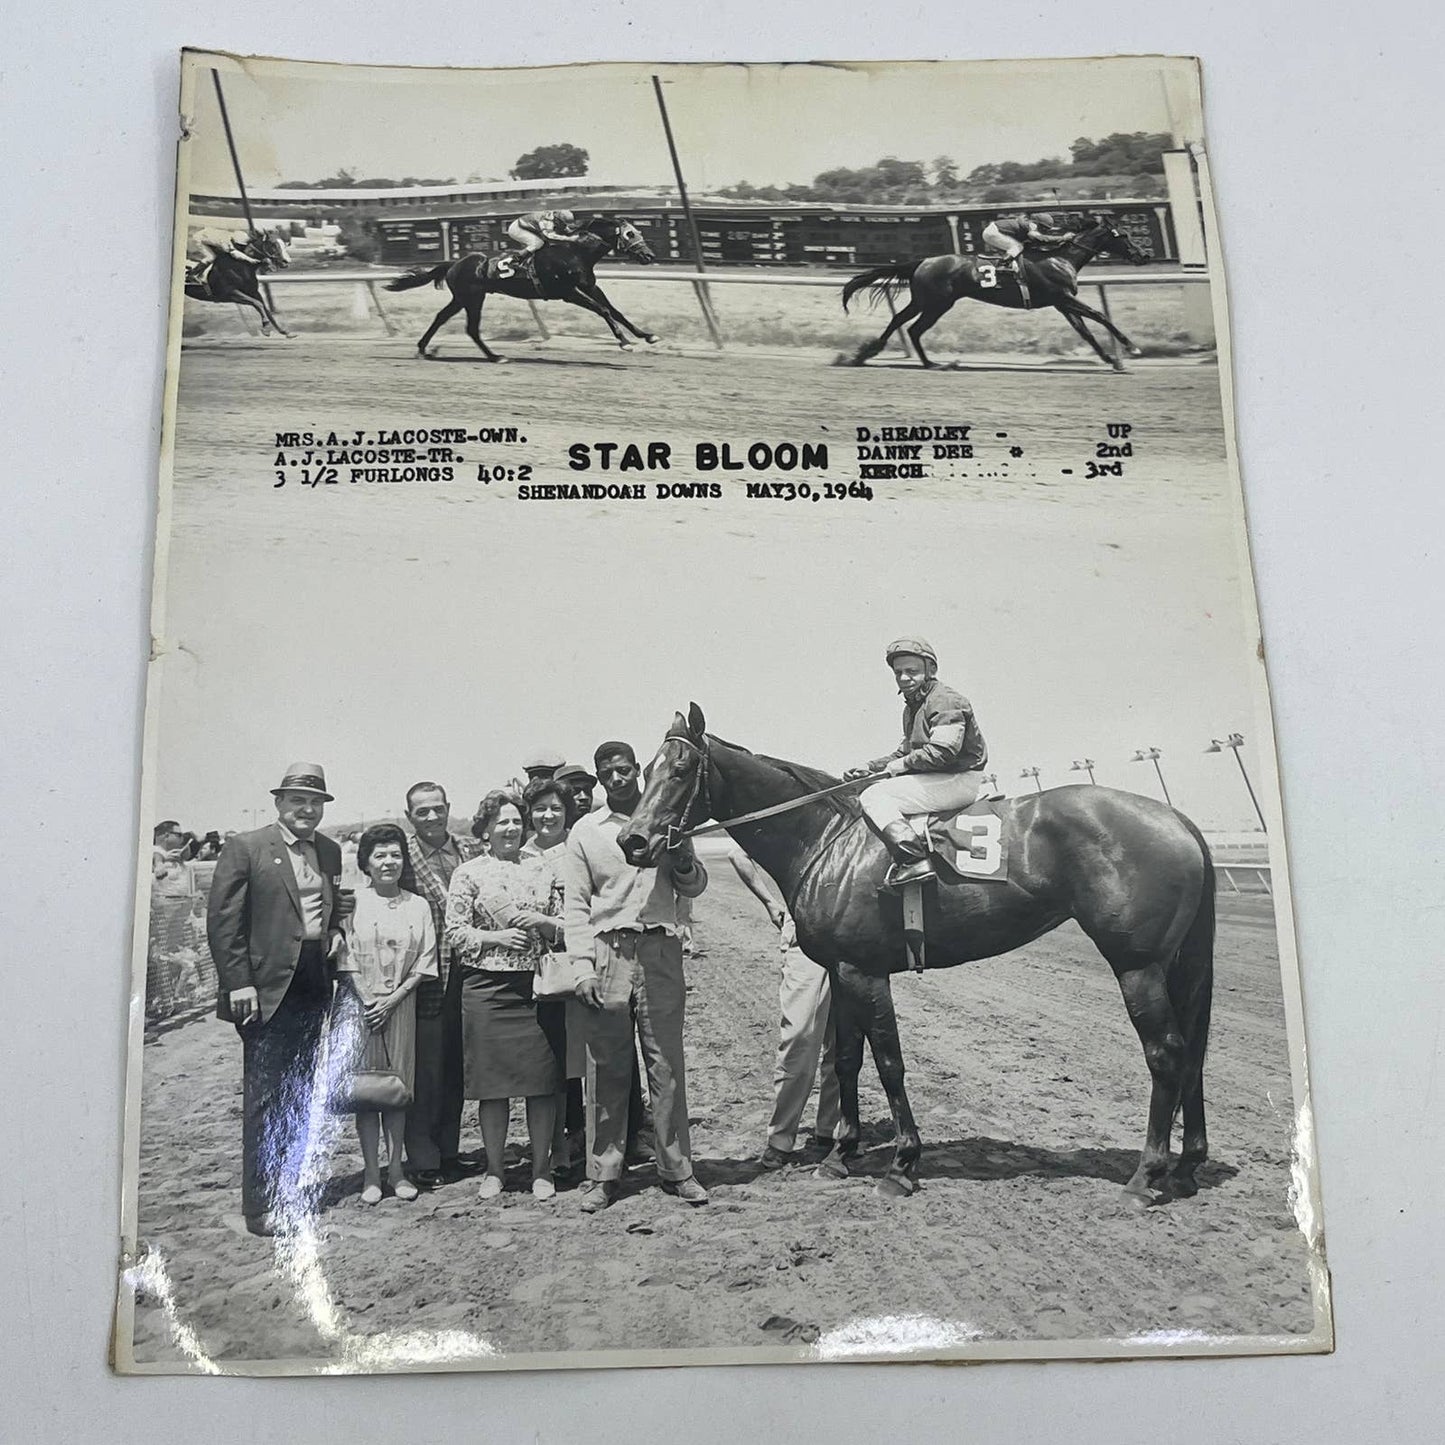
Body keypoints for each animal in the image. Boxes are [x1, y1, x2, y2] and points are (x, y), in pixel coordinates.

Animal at [381, 213, 658, 361]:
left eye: (638, 231)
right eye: (630, 234)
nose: (650, 256)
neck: (575, 252)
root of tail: (454, 263)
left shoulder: (590, 287)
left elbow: (616, 311)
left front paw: (647, 335)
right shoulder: (568, 293)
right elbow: (604, 311)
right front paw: (625, 342)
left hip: (461, 298)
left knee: (440, 317)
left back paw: (423, 349)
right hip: (473, 298)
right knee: (471, 328)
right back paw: (495, 357)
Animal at [615, 705, 1213, 1202]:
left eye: (680, 769)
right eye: (645, 770)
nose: (632, 841)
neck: (827, 839)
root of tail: (1176, 818)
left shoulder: (865, 972)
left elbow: (889, 1062)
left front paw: (902, 1165)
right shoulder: (842, 971)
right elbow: (848, 1061)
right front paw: (839, 1155)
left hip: (1137, 965)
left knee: (1166, 1053)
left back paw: (1145, 1177)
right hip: (1175, 966)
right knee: (1193, 1052)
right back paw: (1186, 1168)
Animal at [843, 216, 1144, 372]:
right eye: (1124, 235)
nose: (1142, 254)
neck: (1061, 258)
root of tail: (923, 261)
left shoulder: (1062, 304)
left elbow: (1086, 331)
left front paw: (1111, 359)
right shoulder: (1063, 298)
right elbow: (1099, 315)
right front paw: (1131, 348)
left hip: (926, 301)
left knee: (904, 324)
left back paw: (882, 356)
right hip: (936, 303)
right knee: (913, 328)